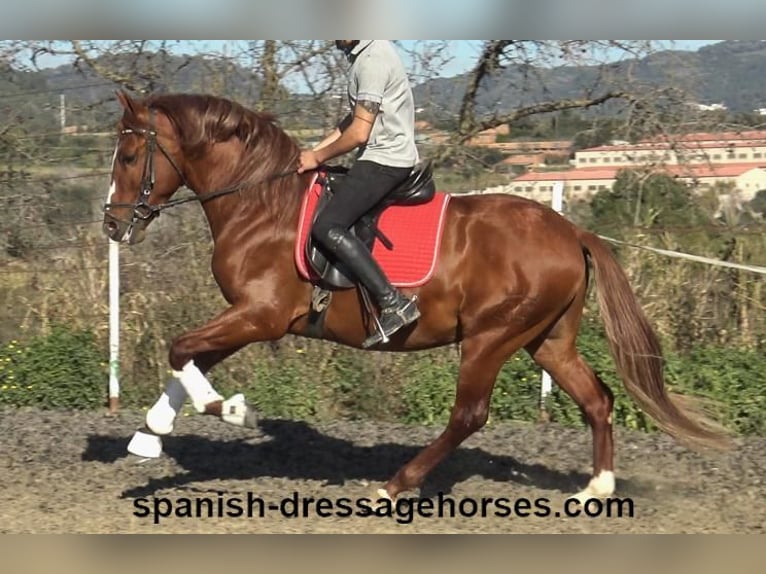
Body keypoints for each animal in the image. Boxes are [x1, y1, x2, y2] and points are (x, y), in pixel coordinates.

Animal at [103, 90, 732, 504]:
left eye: (130, 158)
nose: (112, 225)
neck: (262, 204)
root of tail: (569, 229)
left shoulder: (261, 315)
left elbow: (180, 349)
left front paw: (228, 411)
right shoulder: (248, 317)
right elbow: (188, 358)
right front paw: (149, 434)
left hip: (489, 338)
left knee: (469, 415)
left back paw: (396, 484)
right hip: (547, 341)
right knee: (596, 399)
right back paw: (595, 489)